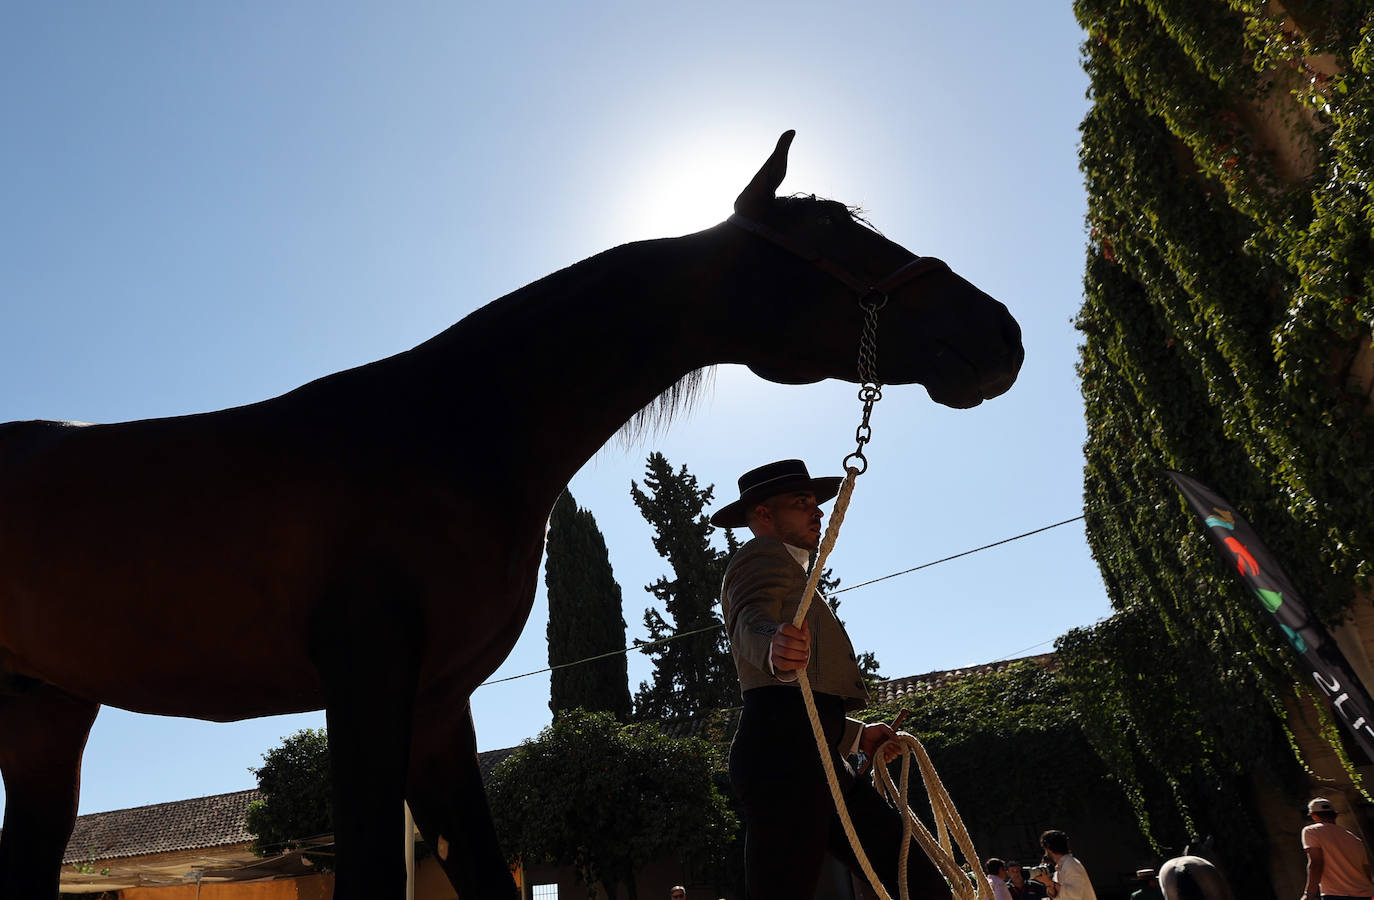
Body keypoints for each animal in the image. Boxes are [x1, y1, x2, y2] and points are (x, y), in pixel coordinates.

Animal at [0, 130, 1023, 899]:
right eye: (835, 234)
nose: (1000, 335)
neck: (451, 432)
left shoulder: (435, 703)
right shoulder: (367, 684)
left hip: (48, 708)